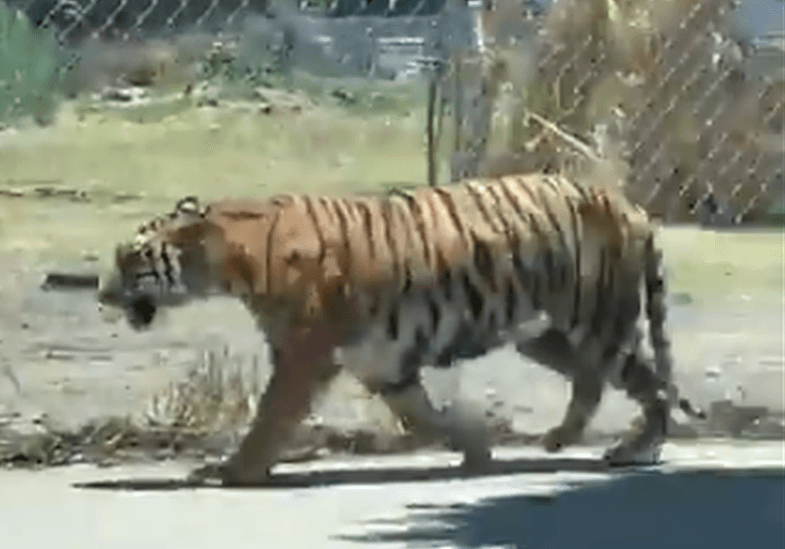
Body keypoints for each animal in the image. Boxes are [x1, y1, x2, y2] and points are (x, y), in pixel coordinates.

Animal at [96, 171, 704, 484]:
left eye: (130, 260)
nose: (101, 294)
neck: (229, 259)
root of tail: (628, 203)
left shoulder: (303, 355)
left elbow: (269, 417)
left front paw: (232, 470)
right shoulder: (382, 362)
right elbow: (421, 416)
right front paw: (476, 453)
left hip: (596, 320)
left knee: (650, 383)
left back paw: (635, 450)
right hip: (543, 333)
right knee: (595, 378)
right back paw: (561, 438)